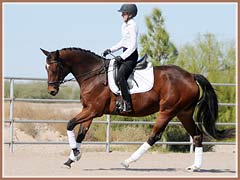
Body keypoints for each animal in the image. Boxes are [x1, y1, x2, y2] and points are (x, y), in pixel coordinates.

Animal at [41, 47, 234, 171]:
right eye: (46, 67)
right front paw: (71, 158)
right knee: (197, 135)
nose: (52, 91)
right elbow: (81, 133)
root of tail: (191, 76)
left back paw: (128, 161)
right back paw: (195, 167)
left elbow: (69, 124)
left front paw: (75, 153)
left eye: (55, 67)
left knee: (154, 136)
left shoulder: (94, 110)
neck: (94, 74)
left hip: (167, 111)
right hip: (183, 113)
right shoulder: (88, 111)